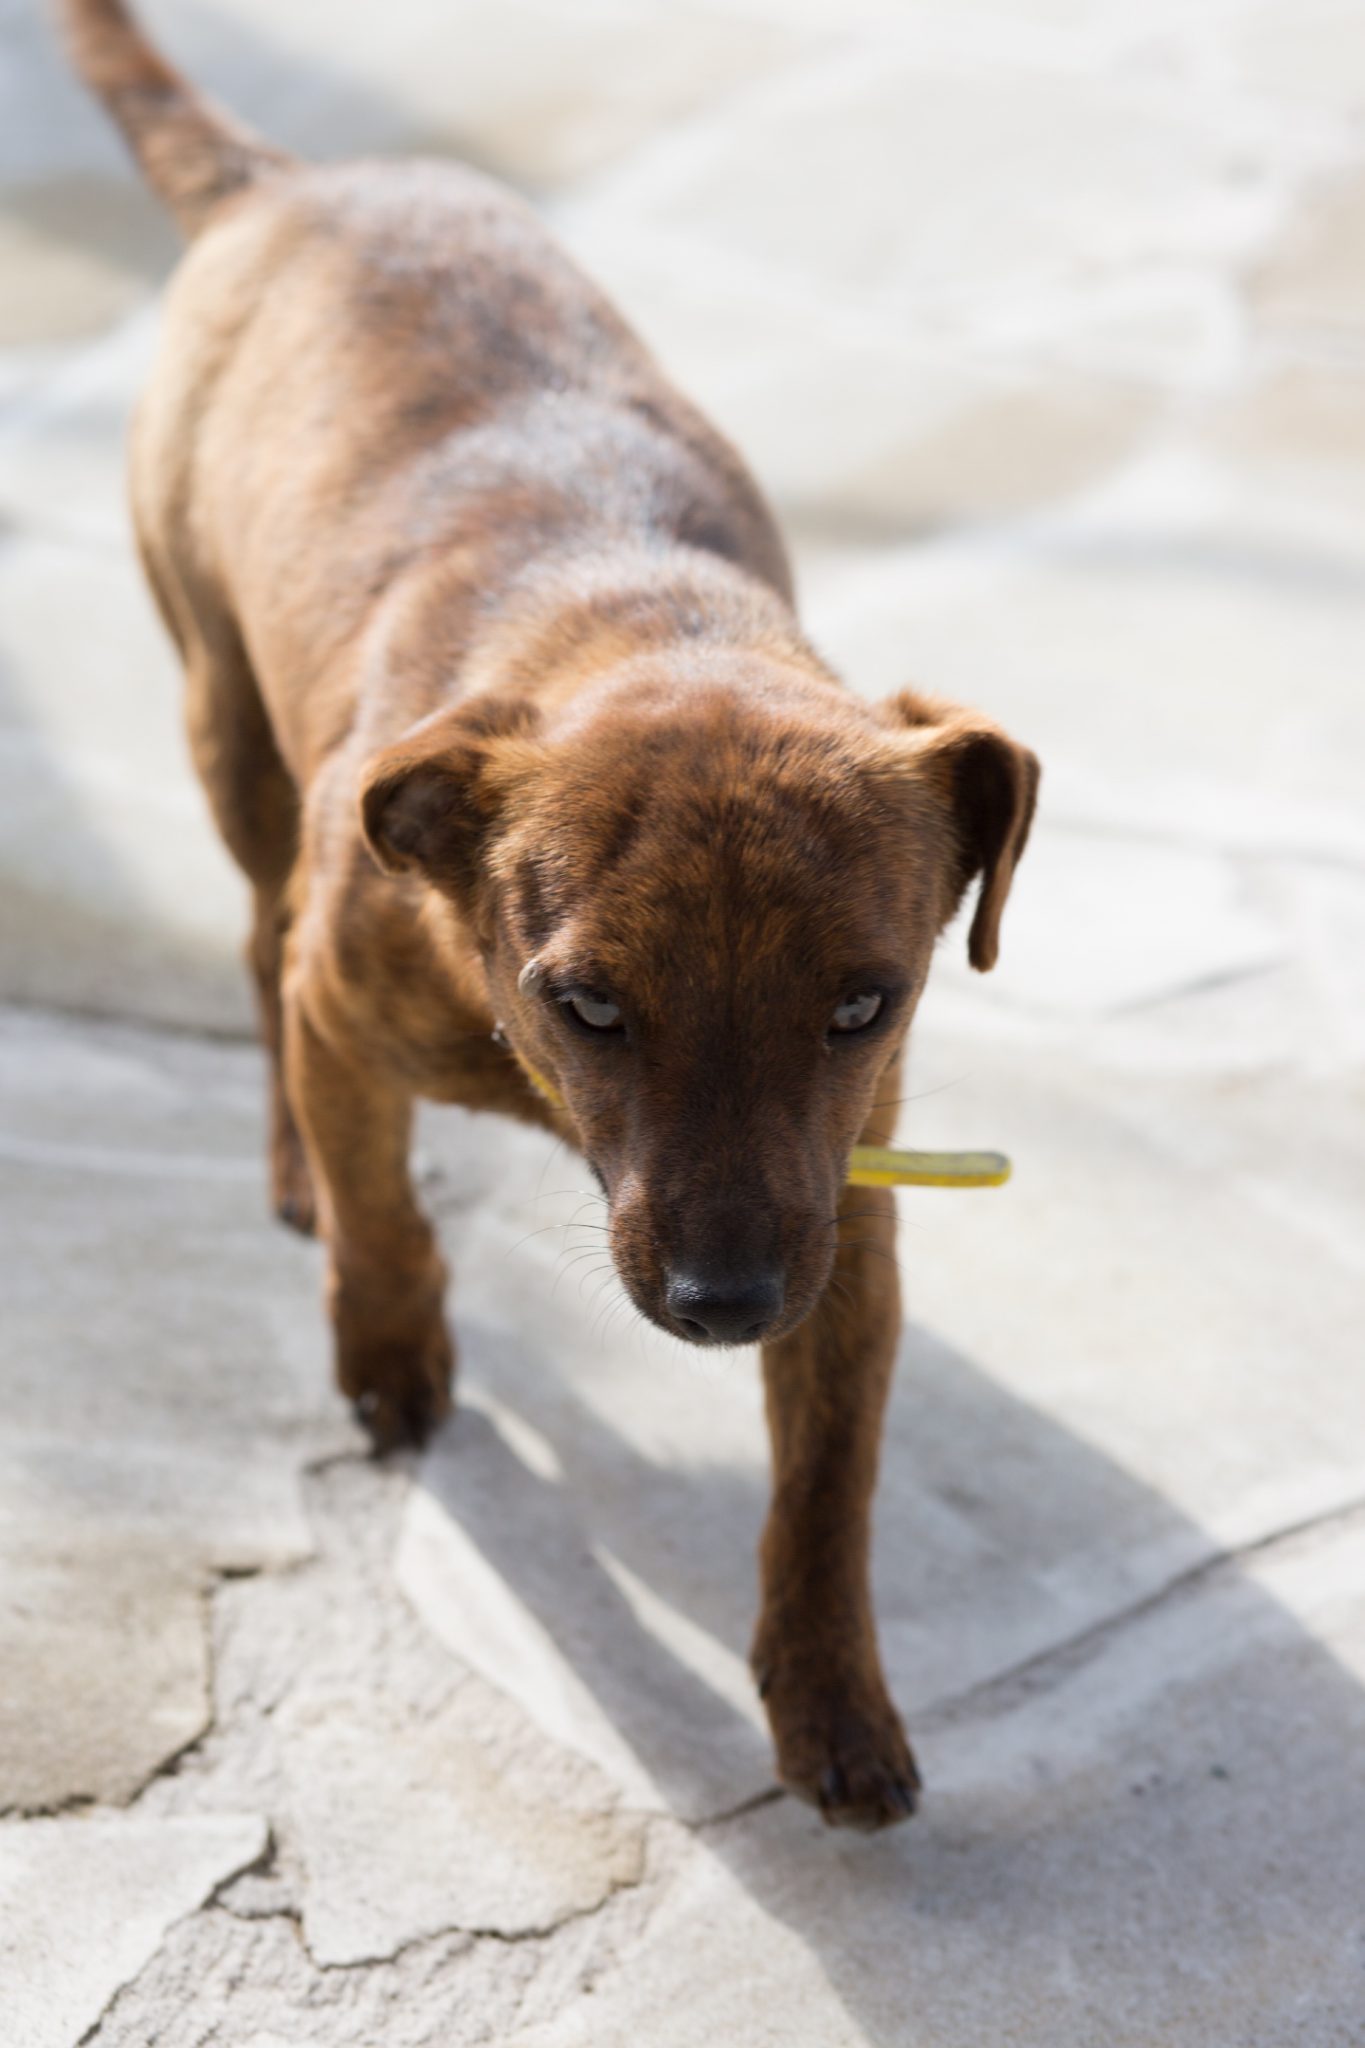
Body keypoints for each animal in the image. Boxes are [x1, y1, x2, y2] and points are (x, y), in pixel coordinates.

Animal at [66, 0, 1035, 1826]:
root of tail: (288, 183)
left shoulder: (845, 1212)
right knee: (252, 952)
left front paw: (831, 1697)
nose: (724, 1305)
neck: (638, 615)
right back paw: (297, 1166)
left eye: (864, 1004)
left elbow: (827, 1488)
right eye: (586, 1003)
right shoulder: (347, 1005)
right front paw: (386, 1345)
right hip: (224, 726)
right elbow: (382, 1207)